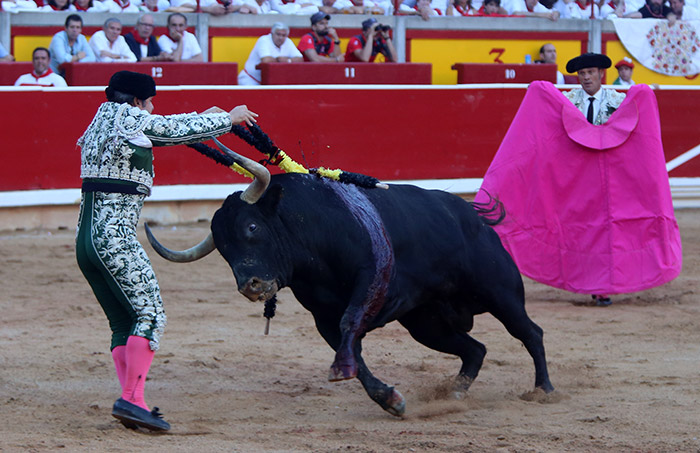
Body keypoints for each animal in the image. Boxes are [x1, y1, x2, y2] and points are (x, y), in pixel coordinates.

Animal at [146, 151, 552, 414]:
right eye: (223, 249)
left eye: (252, 227)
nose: (252, 285)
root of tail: (473, 216)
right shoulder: (322, 317)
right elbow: (351, 347)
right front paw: (389, 399)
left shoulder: (368, 280)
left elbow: (350, 325)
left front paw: (345, 371)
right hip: (427, 323)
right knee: (475, 349)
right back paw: (453, 394)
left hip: (501, 294)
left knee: (530, 332)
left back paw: (543, 390)